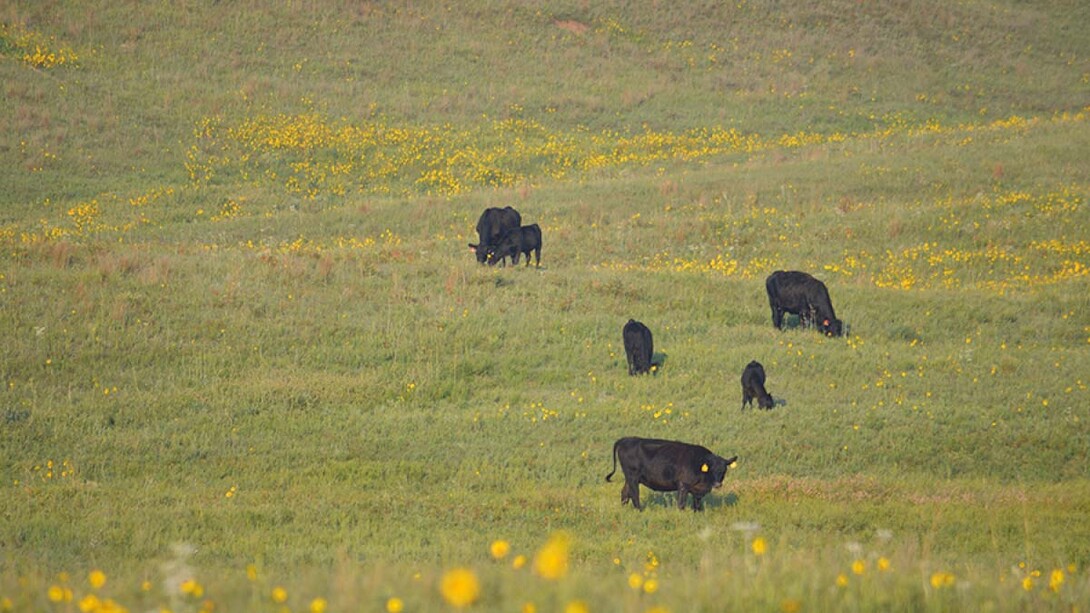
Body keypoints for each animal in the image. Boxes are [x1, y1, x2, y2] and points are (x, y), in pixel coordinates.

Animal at [606, 434, 741, 510]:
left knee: (625, 493)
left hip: (630, 478)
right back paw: (639, 510)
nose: (718, 484)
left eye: (724, 470)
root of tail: (626, 439)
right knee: (634, 494)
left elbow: (697, 506)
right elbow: (681, 504)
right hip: (632, 476)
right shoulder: (683, 485)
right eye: (711, 469)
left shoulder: (697, 491)